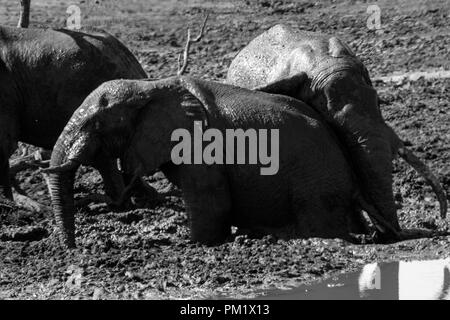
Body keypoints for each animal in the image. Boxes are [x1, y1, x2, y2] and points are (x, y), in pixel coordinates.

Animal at [43, 76, 390, 249]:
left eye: (97, 124)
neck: (151, 86)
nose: (72, 250)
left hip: (315, 181)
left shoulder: (201, 145)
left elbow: (211, 202)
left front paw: (194, 244)